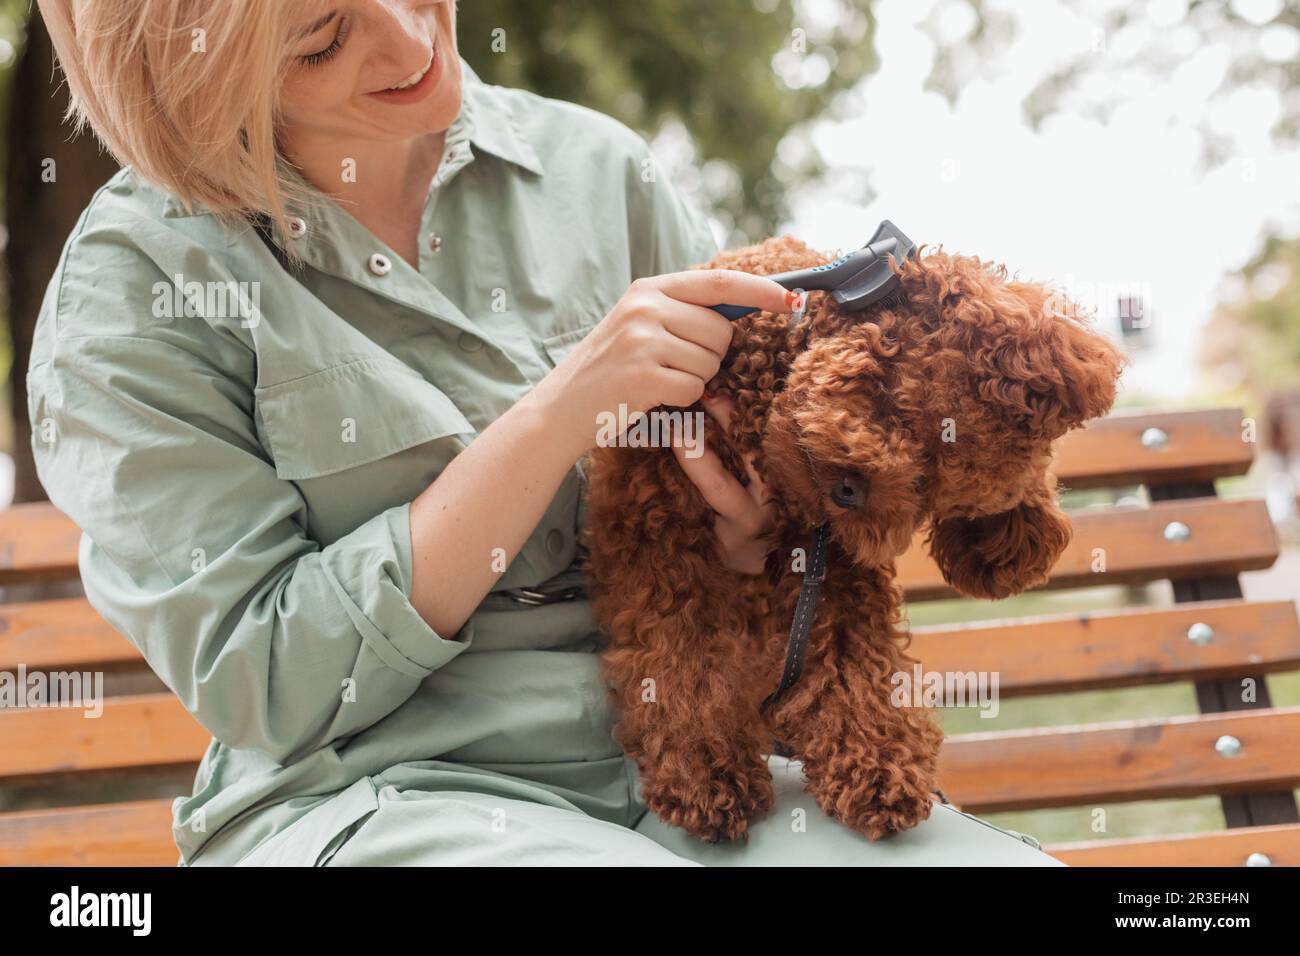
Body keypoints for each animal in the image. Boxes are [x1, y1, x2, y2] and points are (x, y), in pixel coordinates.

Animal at [585, 235, 1123, 842]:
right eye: (913, 409)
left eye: (933, 487)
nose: (849, 490)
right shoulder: (661, 535)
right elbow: (682, 657)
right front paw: (707, 775)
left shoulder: (837, 569)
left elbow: (855, 663)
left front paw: (880, 767)